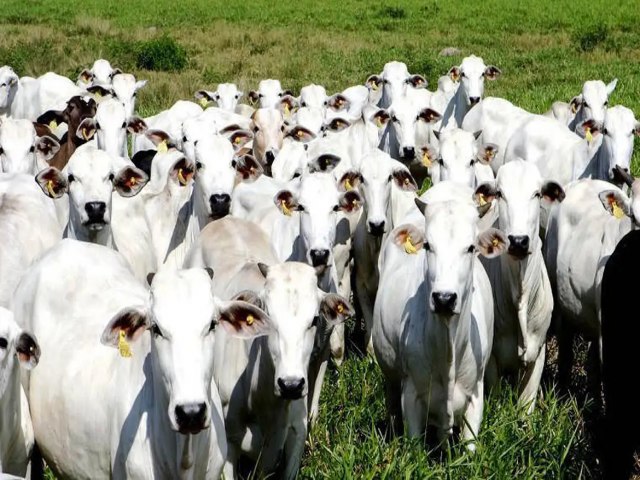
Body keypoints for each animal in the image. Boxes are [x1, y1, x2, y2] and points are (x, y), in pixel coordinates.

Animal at [185, 218, 352, 480]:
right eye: (268, 316)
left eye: (315, 319)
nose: (291, 384)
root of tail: (225, 221)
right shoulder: (229, 443)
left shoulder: (295, 434)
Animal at [480, 161, 564, 412]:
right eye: (499, 193)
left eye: (537, 194)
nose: (518, 241)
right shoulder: (491, 359)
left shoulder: (538, 352)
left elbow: (525, 408)